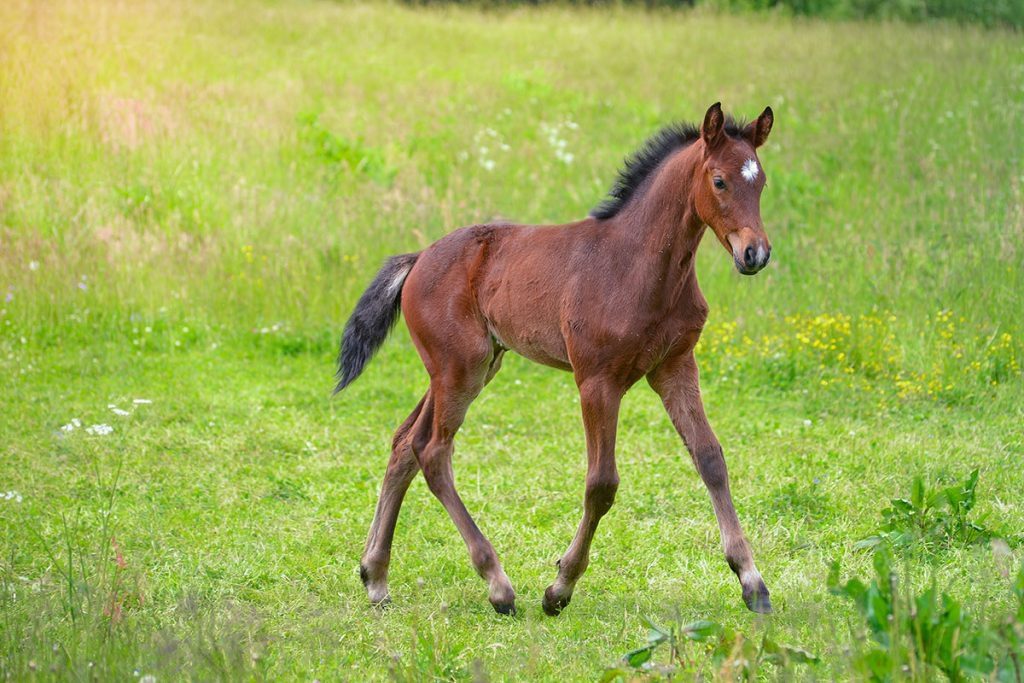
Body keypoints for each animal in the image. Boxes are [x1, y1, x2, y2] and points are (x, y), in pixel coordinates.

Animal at [336, 102, 775, 616]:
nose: (755, 253)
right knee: (433, 451)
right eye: (720, 181)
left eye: (760, 181)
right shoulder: (597, 380)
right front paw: (560, 587)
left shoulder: (675, 366)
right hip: (459, 369)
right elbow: (601, 483)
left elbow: (710, 458)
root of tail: (420, 256)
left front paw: (752, 581)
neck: (638, 264)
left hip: (470, 367)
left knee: (405, 442)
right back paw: (497, 584)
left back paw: (375, 577)